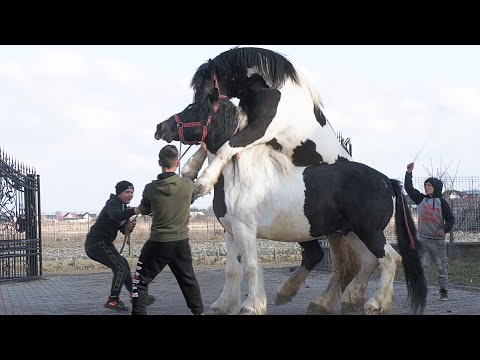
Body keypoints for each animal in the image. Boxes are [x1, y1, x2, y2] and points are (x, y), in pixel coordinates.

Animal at [156, 97, 426, 314]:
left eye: (194, 108)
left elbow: (251, 266)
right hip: (350, 232)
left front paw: (252, 305)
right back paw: (350, 300)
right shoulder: (231, 232)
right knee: (369, 262)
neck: (240, 175)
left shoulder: (245, 230)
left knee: (390, 259)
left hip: (369, 232)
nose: (161, 127)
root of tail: (387, 180)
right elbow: (232, 269)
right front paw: (223, 305)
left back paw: (375, 303)